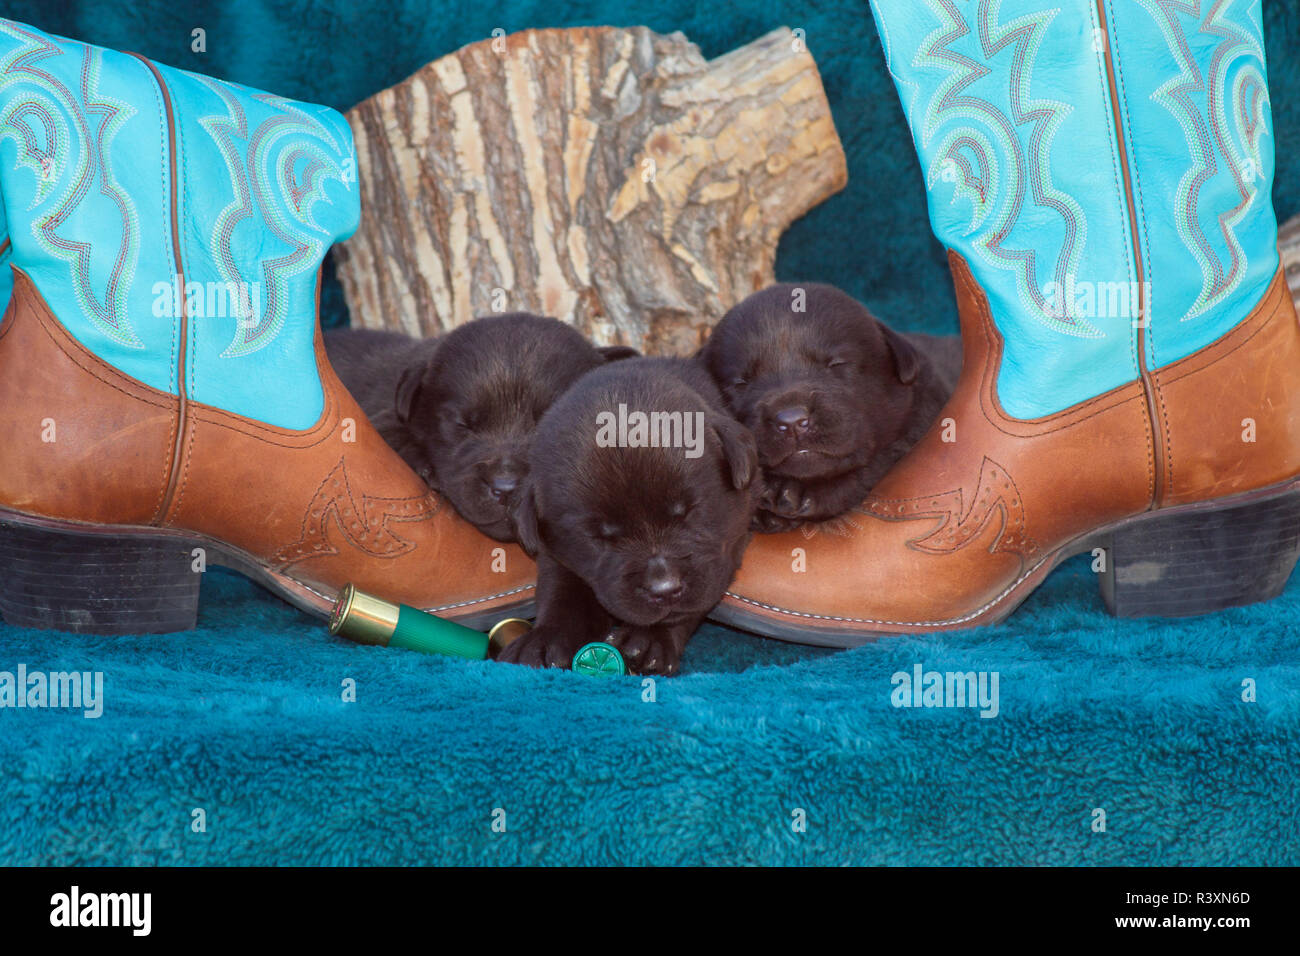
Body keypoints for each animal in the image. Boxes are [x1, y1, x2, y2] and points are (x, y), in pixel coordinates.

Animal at [499, 356, 759, 676]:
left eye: (689, 512)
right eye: (599, 537)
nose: (665, 589)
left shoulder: (730, 543)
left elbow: (684, 608)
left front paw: (648, 640)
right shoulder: (557, 553)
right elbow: (563, 593)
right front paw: (543, 641)